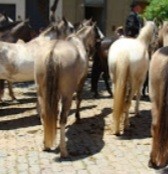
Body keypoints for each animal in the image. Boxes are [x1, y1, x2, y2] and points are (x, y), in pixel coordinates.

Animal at [34, 23, 98, 157]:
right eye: (95, 34)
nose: (94, 51)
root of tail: (53, 52)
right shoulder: (82, 81)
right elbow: (79, 99)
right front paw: (78, 118)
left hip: (42, 93)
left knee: (44, 114)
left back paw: (46, 145)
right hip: (67, 95)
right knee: (63, 118)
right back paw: (64, 150)